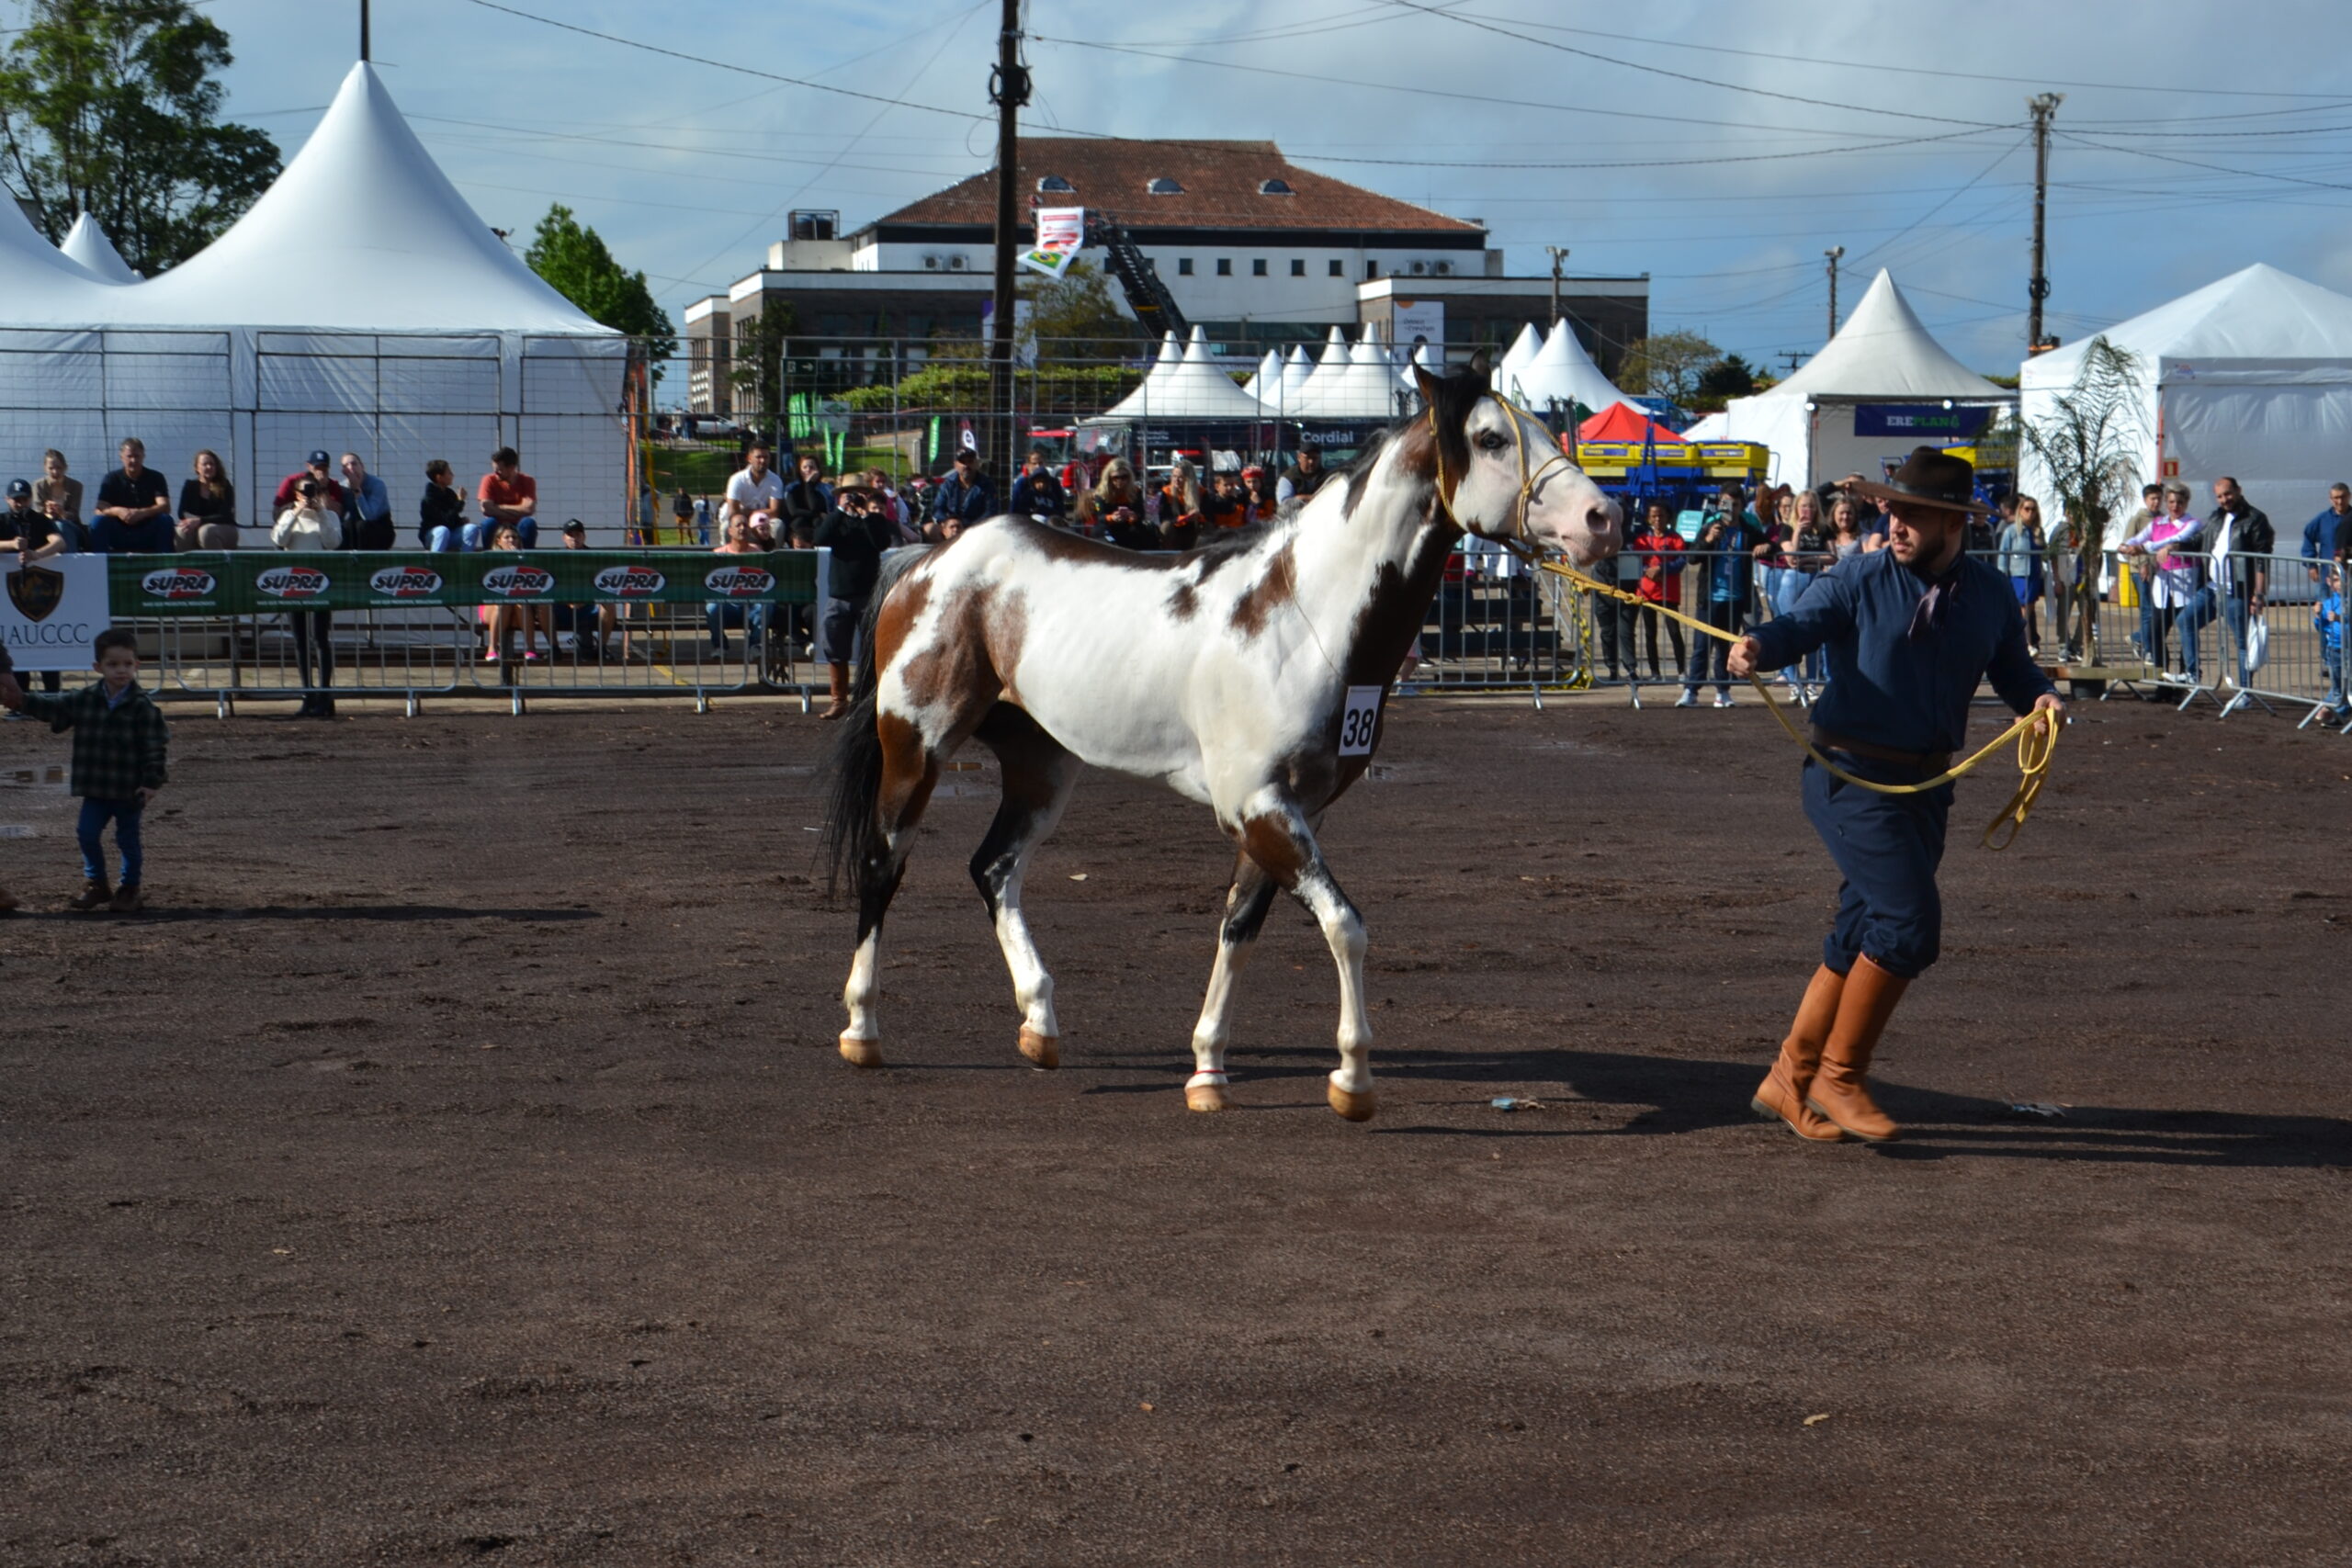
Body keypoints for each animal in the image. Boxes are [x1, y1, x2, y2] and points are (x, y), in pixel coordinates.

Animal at [818, 364, 1609, 1128]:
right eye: (1490, 438)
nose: (1603, 518)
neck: (1299, 615)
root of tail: (930, 560)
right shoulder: (1257, 805)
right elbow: (1344, 925)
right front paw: (1352, 1079)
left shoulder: (1292, 811)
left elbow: (1239, 926)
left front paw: (1208, 1070)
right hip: (915, 748)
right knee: (883, 864)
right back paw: (861, 1031)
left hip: (1039, 765)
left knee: (993, 868)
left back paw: (1039, 1025)